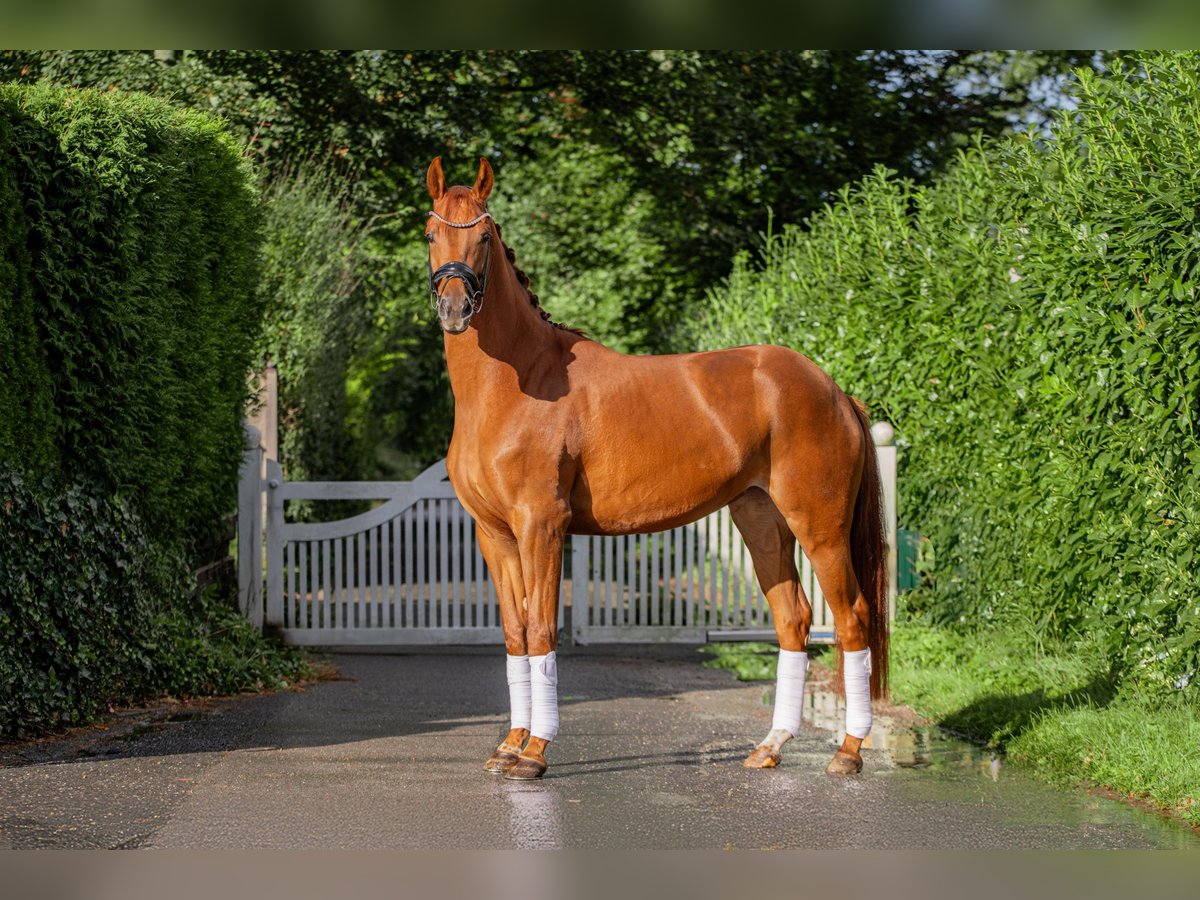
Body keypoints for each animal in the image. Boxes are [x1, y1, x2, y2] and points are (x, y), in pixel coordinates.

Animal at [427, 158, 888, 787]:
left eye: (484, 238)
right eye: (432, 234)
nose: (454, 311)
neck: (515, 384)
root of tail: (835, 390)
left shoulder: (541, 527)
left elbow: (543, 630)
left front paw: (535, 753)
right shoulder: (494, 535)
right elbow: (516, 634)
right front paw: (509, 746)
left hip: (820, 526)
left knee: (852, 619)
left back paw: (848, 752)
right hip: (761, 520)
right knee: (793, 619)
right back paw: (769, 747)